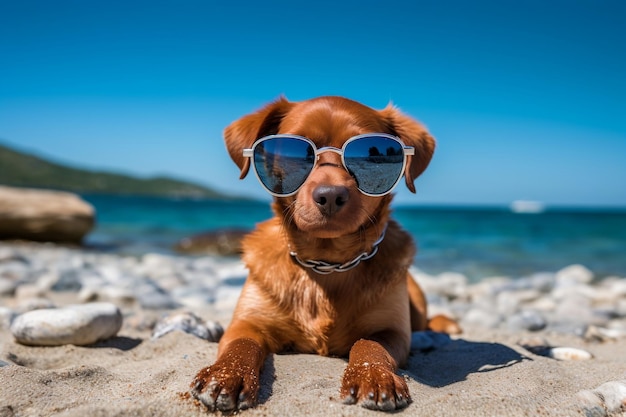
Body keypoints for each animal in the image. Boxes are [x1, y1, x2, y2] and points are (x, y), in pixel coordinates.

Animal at [188, 96, 456, 412]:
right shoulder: (247, 322)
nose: (330, 195)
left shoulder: (392, 331)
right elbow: (241, 344)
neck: (327, 265)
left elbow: (369, 345)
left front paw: (373, 375)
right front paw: (226, 373)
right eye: (296, 151)